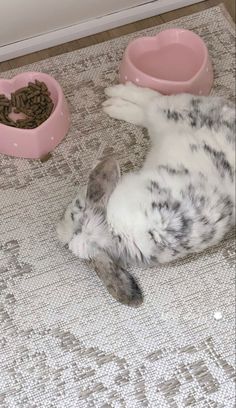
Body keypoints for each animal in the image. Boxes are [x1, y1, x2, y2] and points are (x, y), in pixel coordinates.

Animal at [56, 82, 234, 306]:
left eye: (73, 210)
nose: (57, 230)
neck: (111, 231)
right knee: (145, 110)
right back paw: (113, 102)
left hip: (169, 110)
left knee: (150, 100)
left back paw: (113, 100)